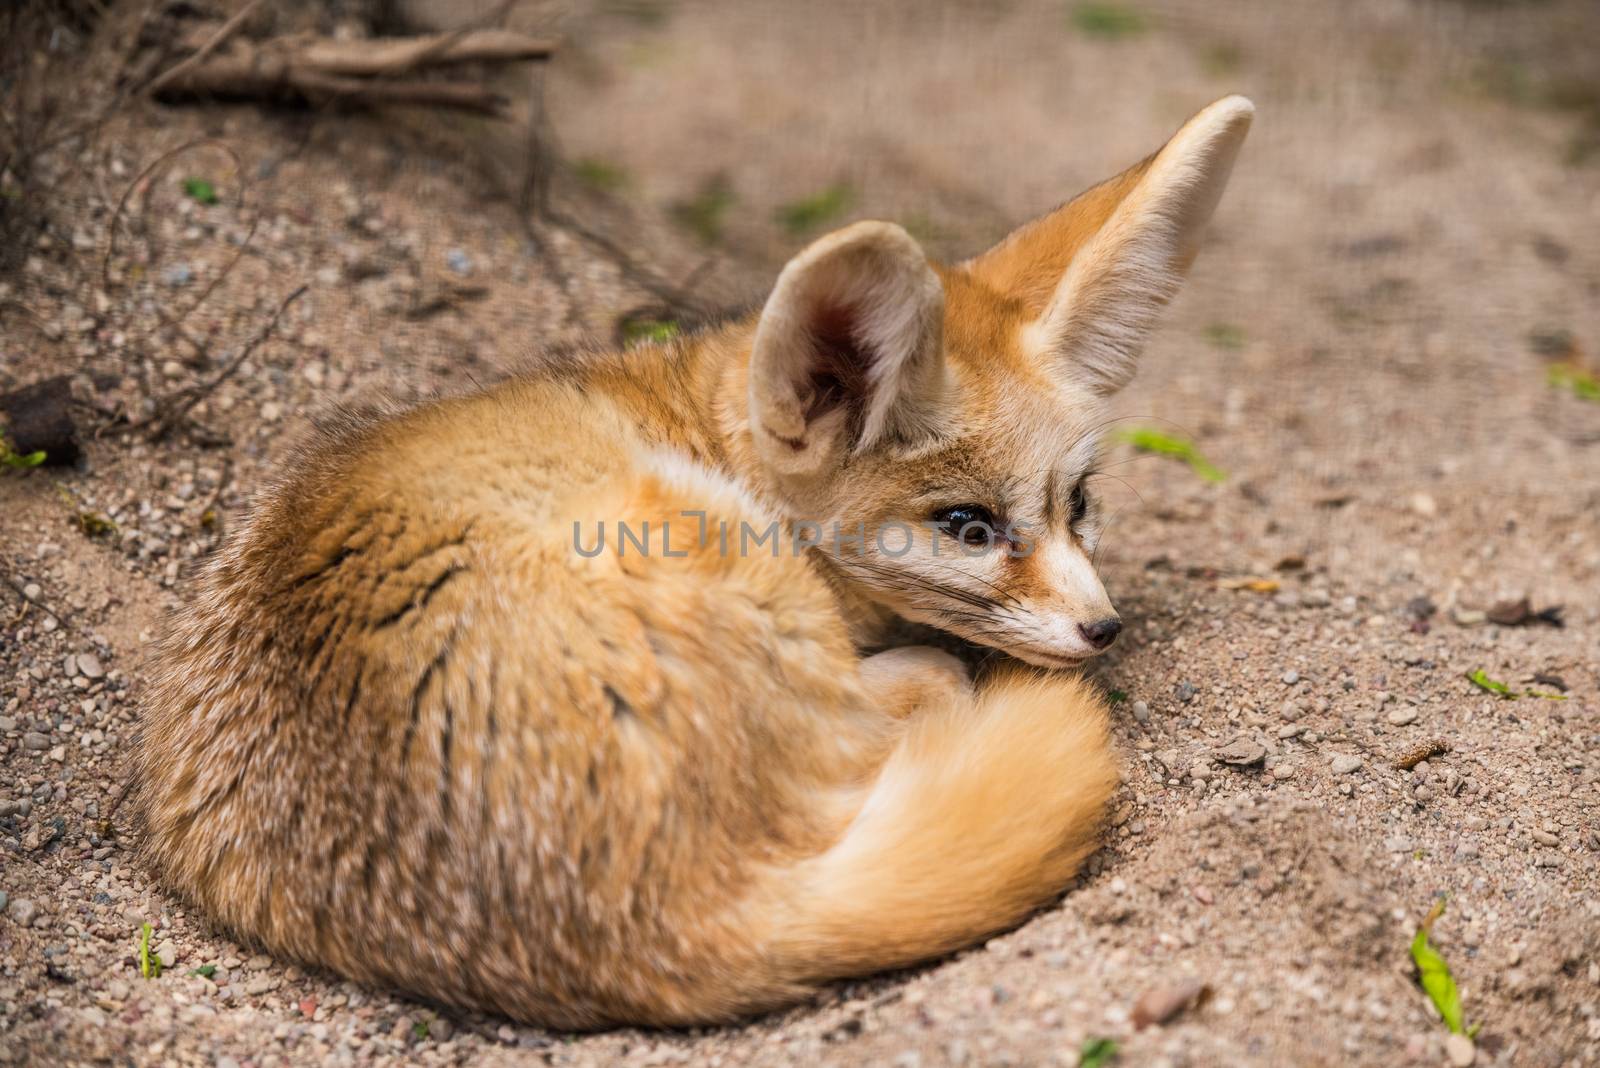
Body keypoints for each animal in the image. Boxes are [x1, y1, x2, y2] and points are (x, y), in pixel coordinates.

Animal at [140, 97, 1248, 1023]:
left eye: (1078, 503)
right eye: (968, 525)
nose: (1105, 629)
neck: (701, 428)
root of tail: (659, 926)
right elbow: (929, 670)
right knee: (914, 696)